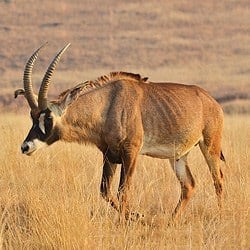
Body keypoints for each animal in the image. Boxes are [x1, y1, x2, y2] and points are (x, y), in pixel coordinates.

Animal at [16, 44, 227, 220]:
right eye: (32, 117)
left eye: (48, 118)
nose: (25, 147)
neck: (107, 104)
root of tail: (212, 101)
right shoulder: (109, 155)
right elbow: (105, 191)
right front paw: (135, 216)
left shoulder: (130, 152)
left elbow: (123, 191)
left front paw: (133, 219)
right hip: (178, 156)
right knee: (188, 185)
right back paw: (171, 221)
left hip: (210, 147)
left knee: (218, 180)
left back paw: (220, 217)